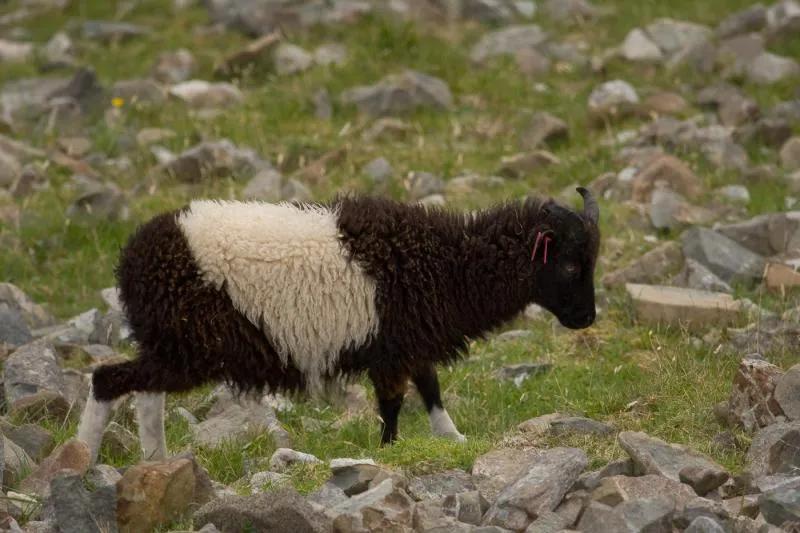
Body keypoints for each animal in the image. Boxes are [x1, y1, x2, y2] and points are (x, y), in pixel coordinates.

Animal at [76, 189, 600, 463]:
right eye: (571, 265)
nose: (587, 319)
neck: (448, 265)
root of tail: (132, 262)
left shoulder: (404, 342)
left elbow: (430, 389)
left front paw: (453, 438)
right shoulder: (390, 350)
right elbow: (392, 406)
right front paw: (386, 453)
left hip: (173, 348)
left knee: (145, 393)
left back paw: (155, 461)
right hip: (188, 349)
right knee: (107, 380)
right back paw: (82, 458)